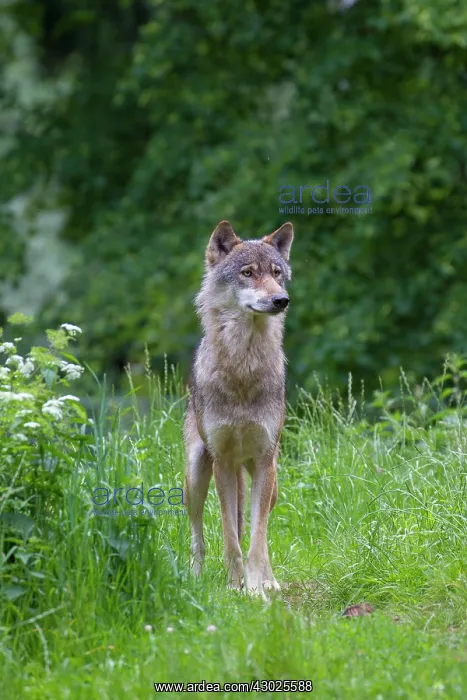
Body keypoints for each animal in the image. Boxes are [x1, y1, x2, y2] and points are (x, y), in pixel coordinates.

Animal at [184, 220, 294, 597]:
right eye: (247, 273)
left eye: (277, 273)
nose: (281, 300)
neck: (243, 370)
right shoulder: (222, 462)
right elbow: (230, 537)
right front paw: (234, 587)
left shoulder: (263, 461)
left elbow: (257, 539)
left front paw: (257, 588)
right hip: (195, 478)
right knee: (198, 537)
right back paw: (195, 579)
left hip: (271, 481)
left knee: (263, 529)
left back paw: (271, 581)